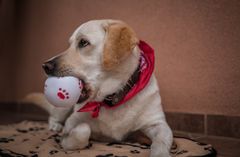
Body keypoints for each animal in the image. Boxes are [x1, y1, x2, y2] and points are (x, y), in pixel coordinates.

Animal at [27, 19, 172, 157]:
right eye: (70, 44)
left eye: (83, 42)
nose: (45, 66)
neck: (112, 99)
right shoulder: (72, 122)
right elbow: (83, 130)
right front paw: (68, 140)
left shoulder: (158, 124)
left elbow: (161, 141)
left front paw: (160, 153)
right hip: (63, 108)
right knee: (54, 115)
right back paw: (55, 125)